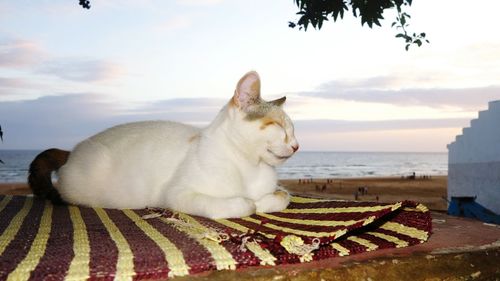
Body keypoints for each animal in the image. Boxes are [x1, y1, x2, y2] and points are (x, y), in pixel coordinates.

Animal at [26, 70, 296, 219]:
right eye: (279, 126)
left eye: (292, 130)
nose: (296, 146)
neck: (250, 166)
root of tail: (72, 150)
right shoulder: (177, 195)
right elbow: (240, 204)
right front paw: (250, 203)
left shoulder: (280, 189)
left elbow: (282, 195)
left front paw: (263, 202)